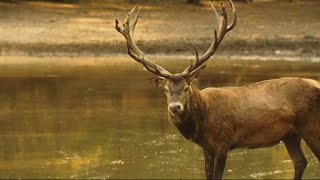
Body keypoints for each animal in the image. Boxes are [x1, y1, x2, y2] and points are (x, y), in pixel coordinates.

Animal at [116, 0, 320, 179]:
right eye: (165, 89)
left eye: (187, 88)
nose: (175, 107)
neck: (203, 119)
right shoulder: (207, 148)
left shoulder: (223, 142)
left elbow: (217, 176)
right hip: (291, 134)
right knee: (300, 162)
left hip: (311, 126)